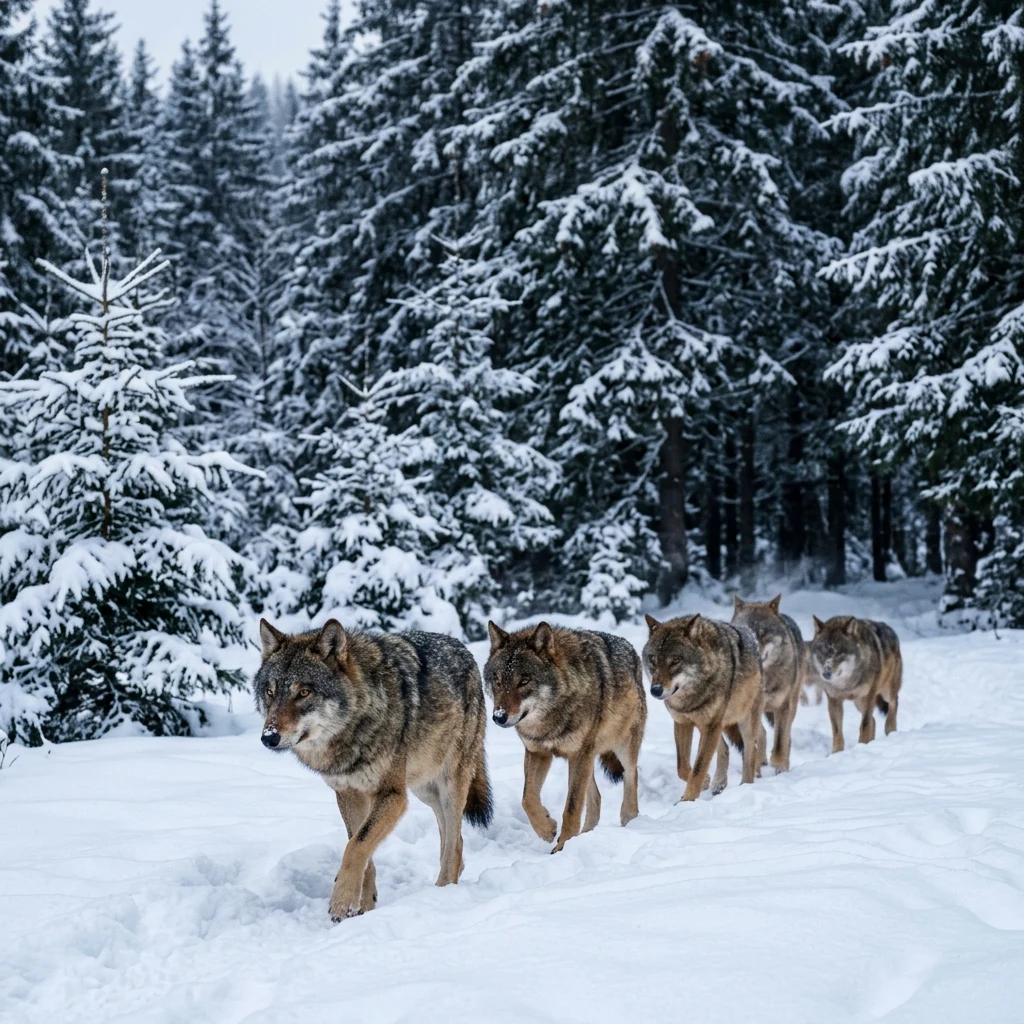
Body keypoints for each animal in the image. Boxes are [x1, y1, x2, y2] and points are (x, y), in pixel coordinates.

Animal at [254, 619, 491, 922]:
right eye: (270, 692)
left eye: (303, 692)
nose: (269, 737)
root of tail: (463, 648)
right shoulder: (348, 793)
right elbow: (360, 846)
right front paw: (362, 905)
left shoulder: (393, 795)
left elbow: (356, 846)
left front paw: (341, 902)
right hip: (426, 790)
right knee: (454, 837)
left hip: (450, 785)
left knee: (454, 844)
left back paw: (442, 893)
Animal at [484, 621, 646, 853]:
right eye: (497, 680)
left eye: (524, 680)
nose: (499, 716)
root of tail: (631, 648)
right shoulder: (538, 752)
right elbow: (527, 799)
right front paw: (547, 829)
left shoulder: (579, 755)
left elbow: (571, 808)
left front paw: (561, 847)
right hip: (587, 759)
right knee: (596, 798)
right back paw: (586, 835)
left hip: (620, 749)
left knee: (631, 776)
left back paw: (628, 821)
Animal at [643, 613, 764, 801]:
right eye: (653, 660)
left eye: (676, 660)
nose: (655, 690)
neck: (690, 699)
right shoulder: (683, 722)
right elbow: (682, 767)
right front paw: (705, 782)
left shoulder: (711, 725)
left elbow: (699, 767)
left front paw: (687, 801)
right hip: (711, 726)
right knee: (725, 748)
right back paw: (718, 784)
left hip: (743, 720)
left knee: (751, 749)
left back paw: (745, 786)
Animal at [731, 595, 805, 772]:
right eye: (744, 632)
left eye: (763, 633)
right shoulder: (753, 706)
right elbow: (758, 735)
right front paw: (758, 762)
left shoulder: (784, 706)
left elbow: (780, 741)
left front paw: (779, 765)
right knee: (763, 733)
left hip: (793, 704)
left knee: (787, 738)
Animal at [807, 615, 902, 754]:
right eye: (822, 653)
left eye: (839, 653)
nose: (826, 673)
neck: (846, 684)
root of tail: (891, 630)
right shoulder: (834, 700)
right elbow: (837, 731)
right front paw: (836, 753)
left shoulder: (869, 696)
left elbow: (864, 725)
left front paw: (862, 746)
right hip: (859, 703)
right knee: (873, 721)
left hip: (885, 693)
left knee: (893, 704)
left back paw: (890, 731)